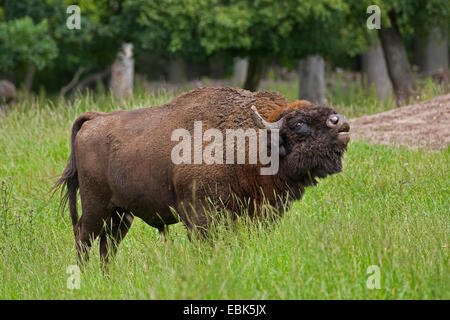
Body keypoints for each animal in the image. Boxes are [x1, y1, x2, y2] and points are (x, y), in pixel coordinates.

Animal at [56, 86, 350, 264]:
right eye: (299, 124)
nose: (341, 123)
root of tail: (95, 119)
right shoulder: (200, 215)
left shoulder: (258, 214)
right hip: (96, 206)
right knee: (84, 238)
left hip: (121, 213)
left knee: (108, 246)